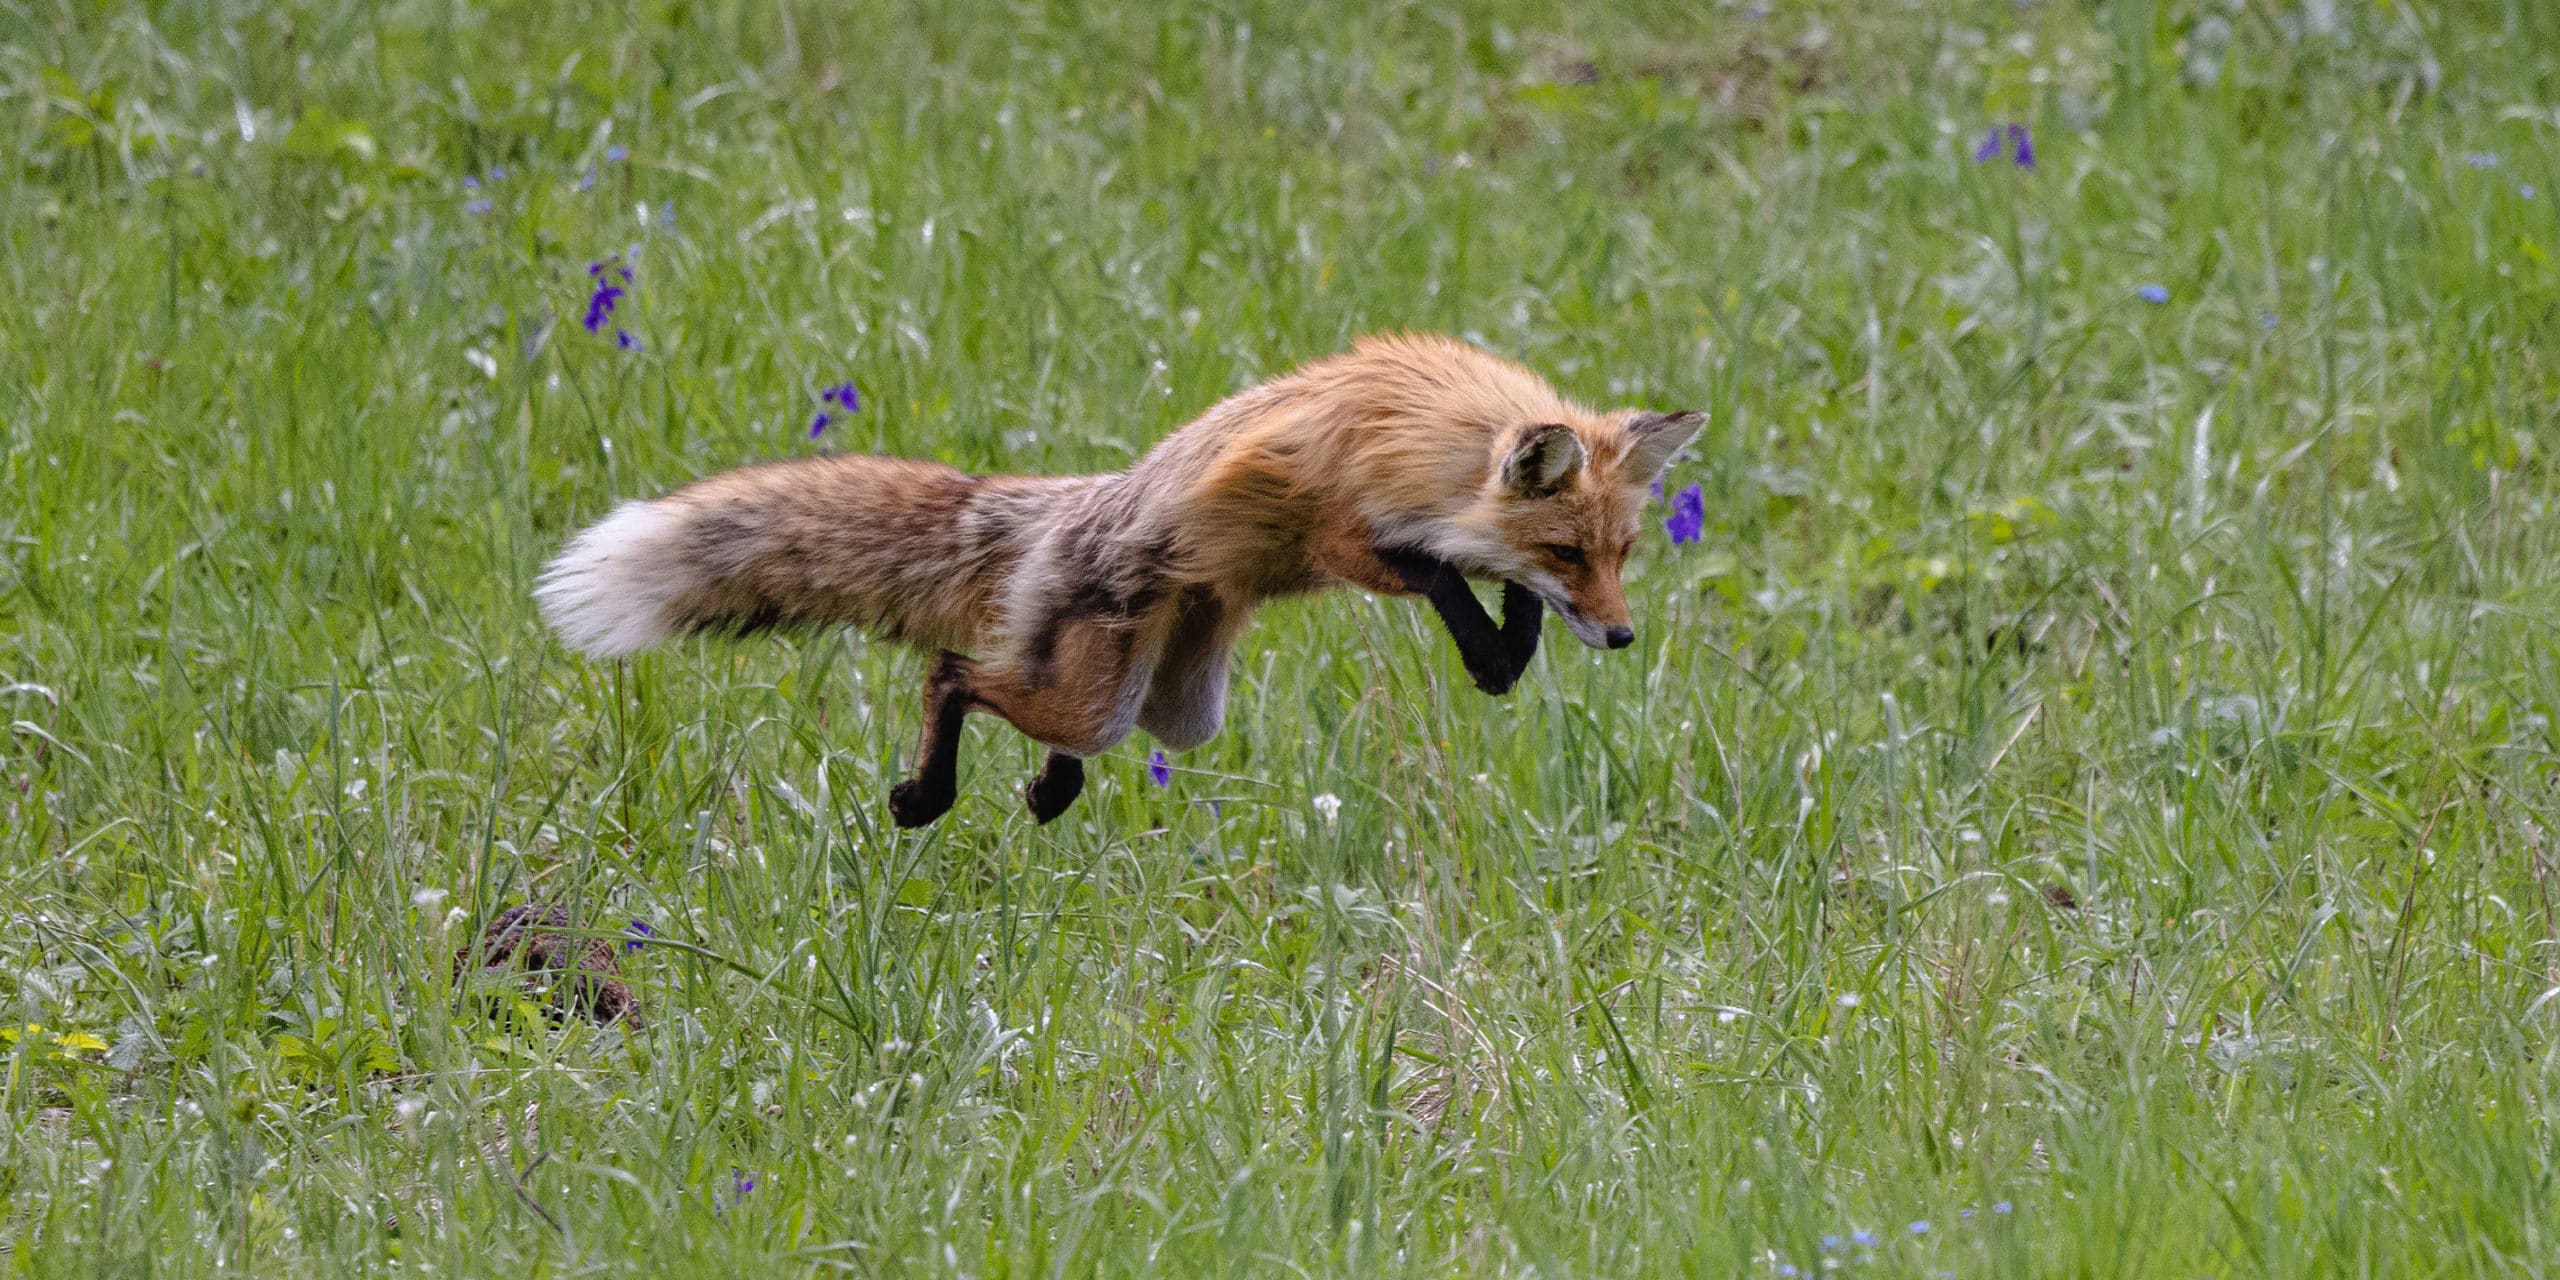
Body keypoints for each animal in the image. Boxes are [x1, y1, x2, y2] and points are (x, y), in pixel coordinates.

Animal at [535, 335, 1699, 824]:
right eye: (1571, 553)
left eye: (1620, 556)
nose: (1622, 637)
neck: (1414, 437)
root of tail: (1067, 506)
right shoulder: (1337, 528)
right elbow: (1444, 583)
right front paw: (1491, 644)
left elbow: (1490, 601)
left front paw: (1506, 640)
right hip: (1107, 692)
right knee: (954, 672)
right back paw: (929, 795)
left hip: (1175, 705)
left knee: (1044, 709)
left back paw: (1046, 790)